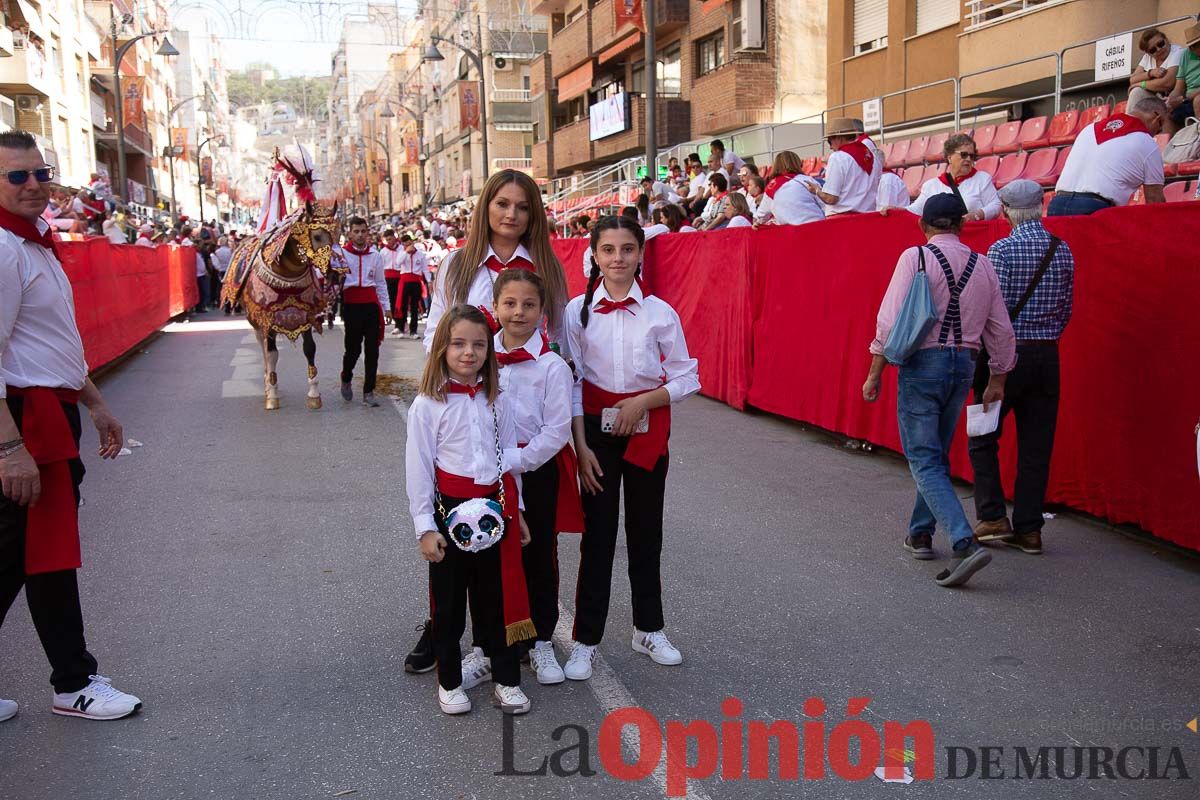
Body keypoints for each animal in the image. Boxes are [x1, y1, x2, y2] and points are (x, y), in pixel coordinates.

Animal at [218, 148, 343, 412]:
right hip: (253, 318)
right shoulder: (266, 318)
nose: (337, 273)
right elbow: (272, 353)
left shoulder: (305, 315)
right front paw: (272, 394)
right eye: (317, 236)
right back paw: (267, 384)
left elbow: (310, 349)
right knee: (264, 349)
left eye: (339, 234)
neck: (287, 274)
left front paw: (314, 395)